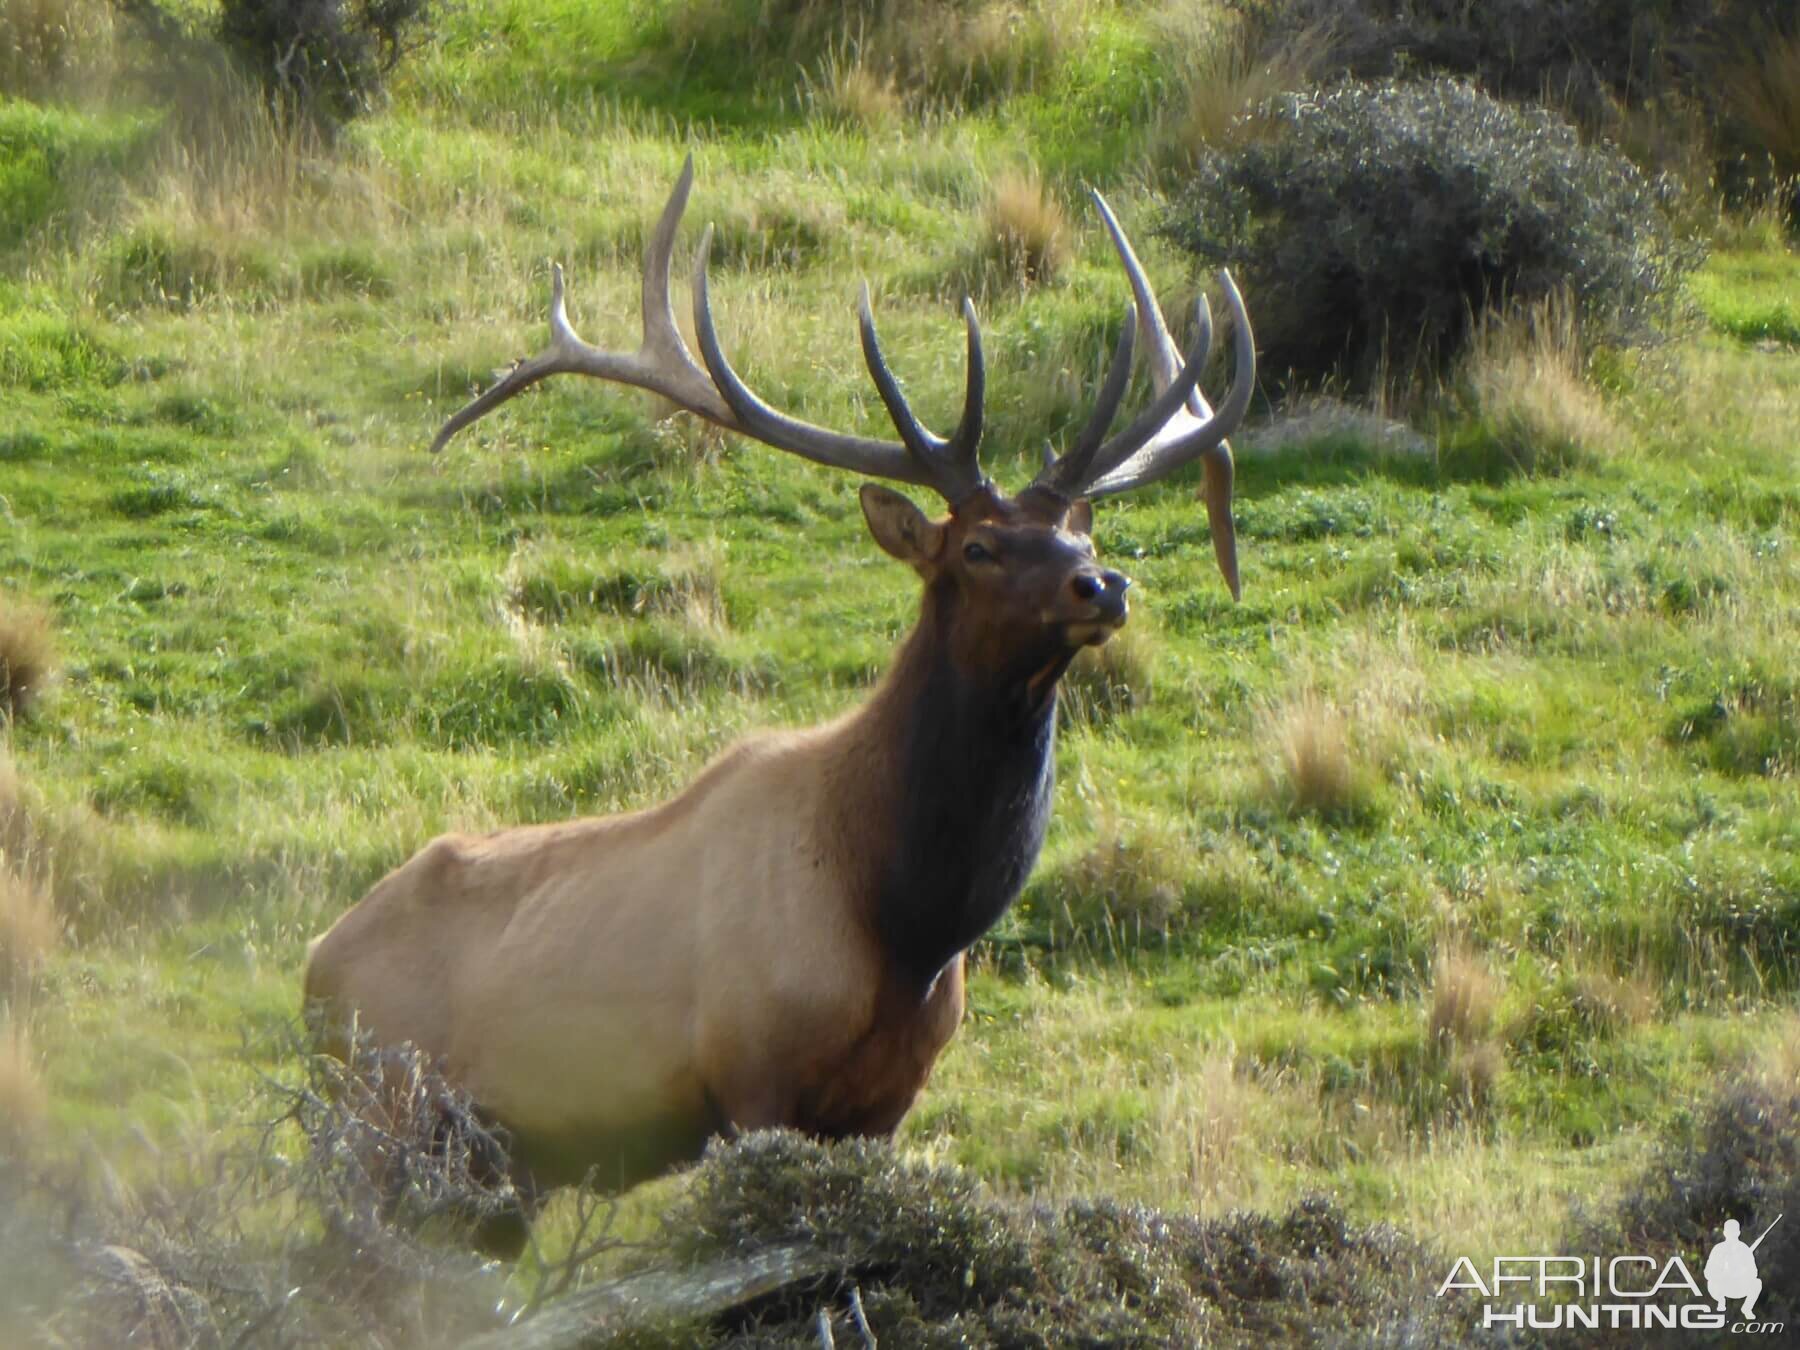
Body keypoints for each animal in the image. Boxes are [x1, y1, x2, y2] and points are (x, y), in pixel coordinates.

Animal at [298, 155, 1252, 1245]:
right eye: (977, 545)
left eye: (1082, 537)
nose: (1104, 587)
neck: (906, 921)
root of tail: (310, 974)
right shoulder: (752, 1075)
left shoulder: (886, 1104)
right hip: (377, 1117)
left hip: (494, 1175)